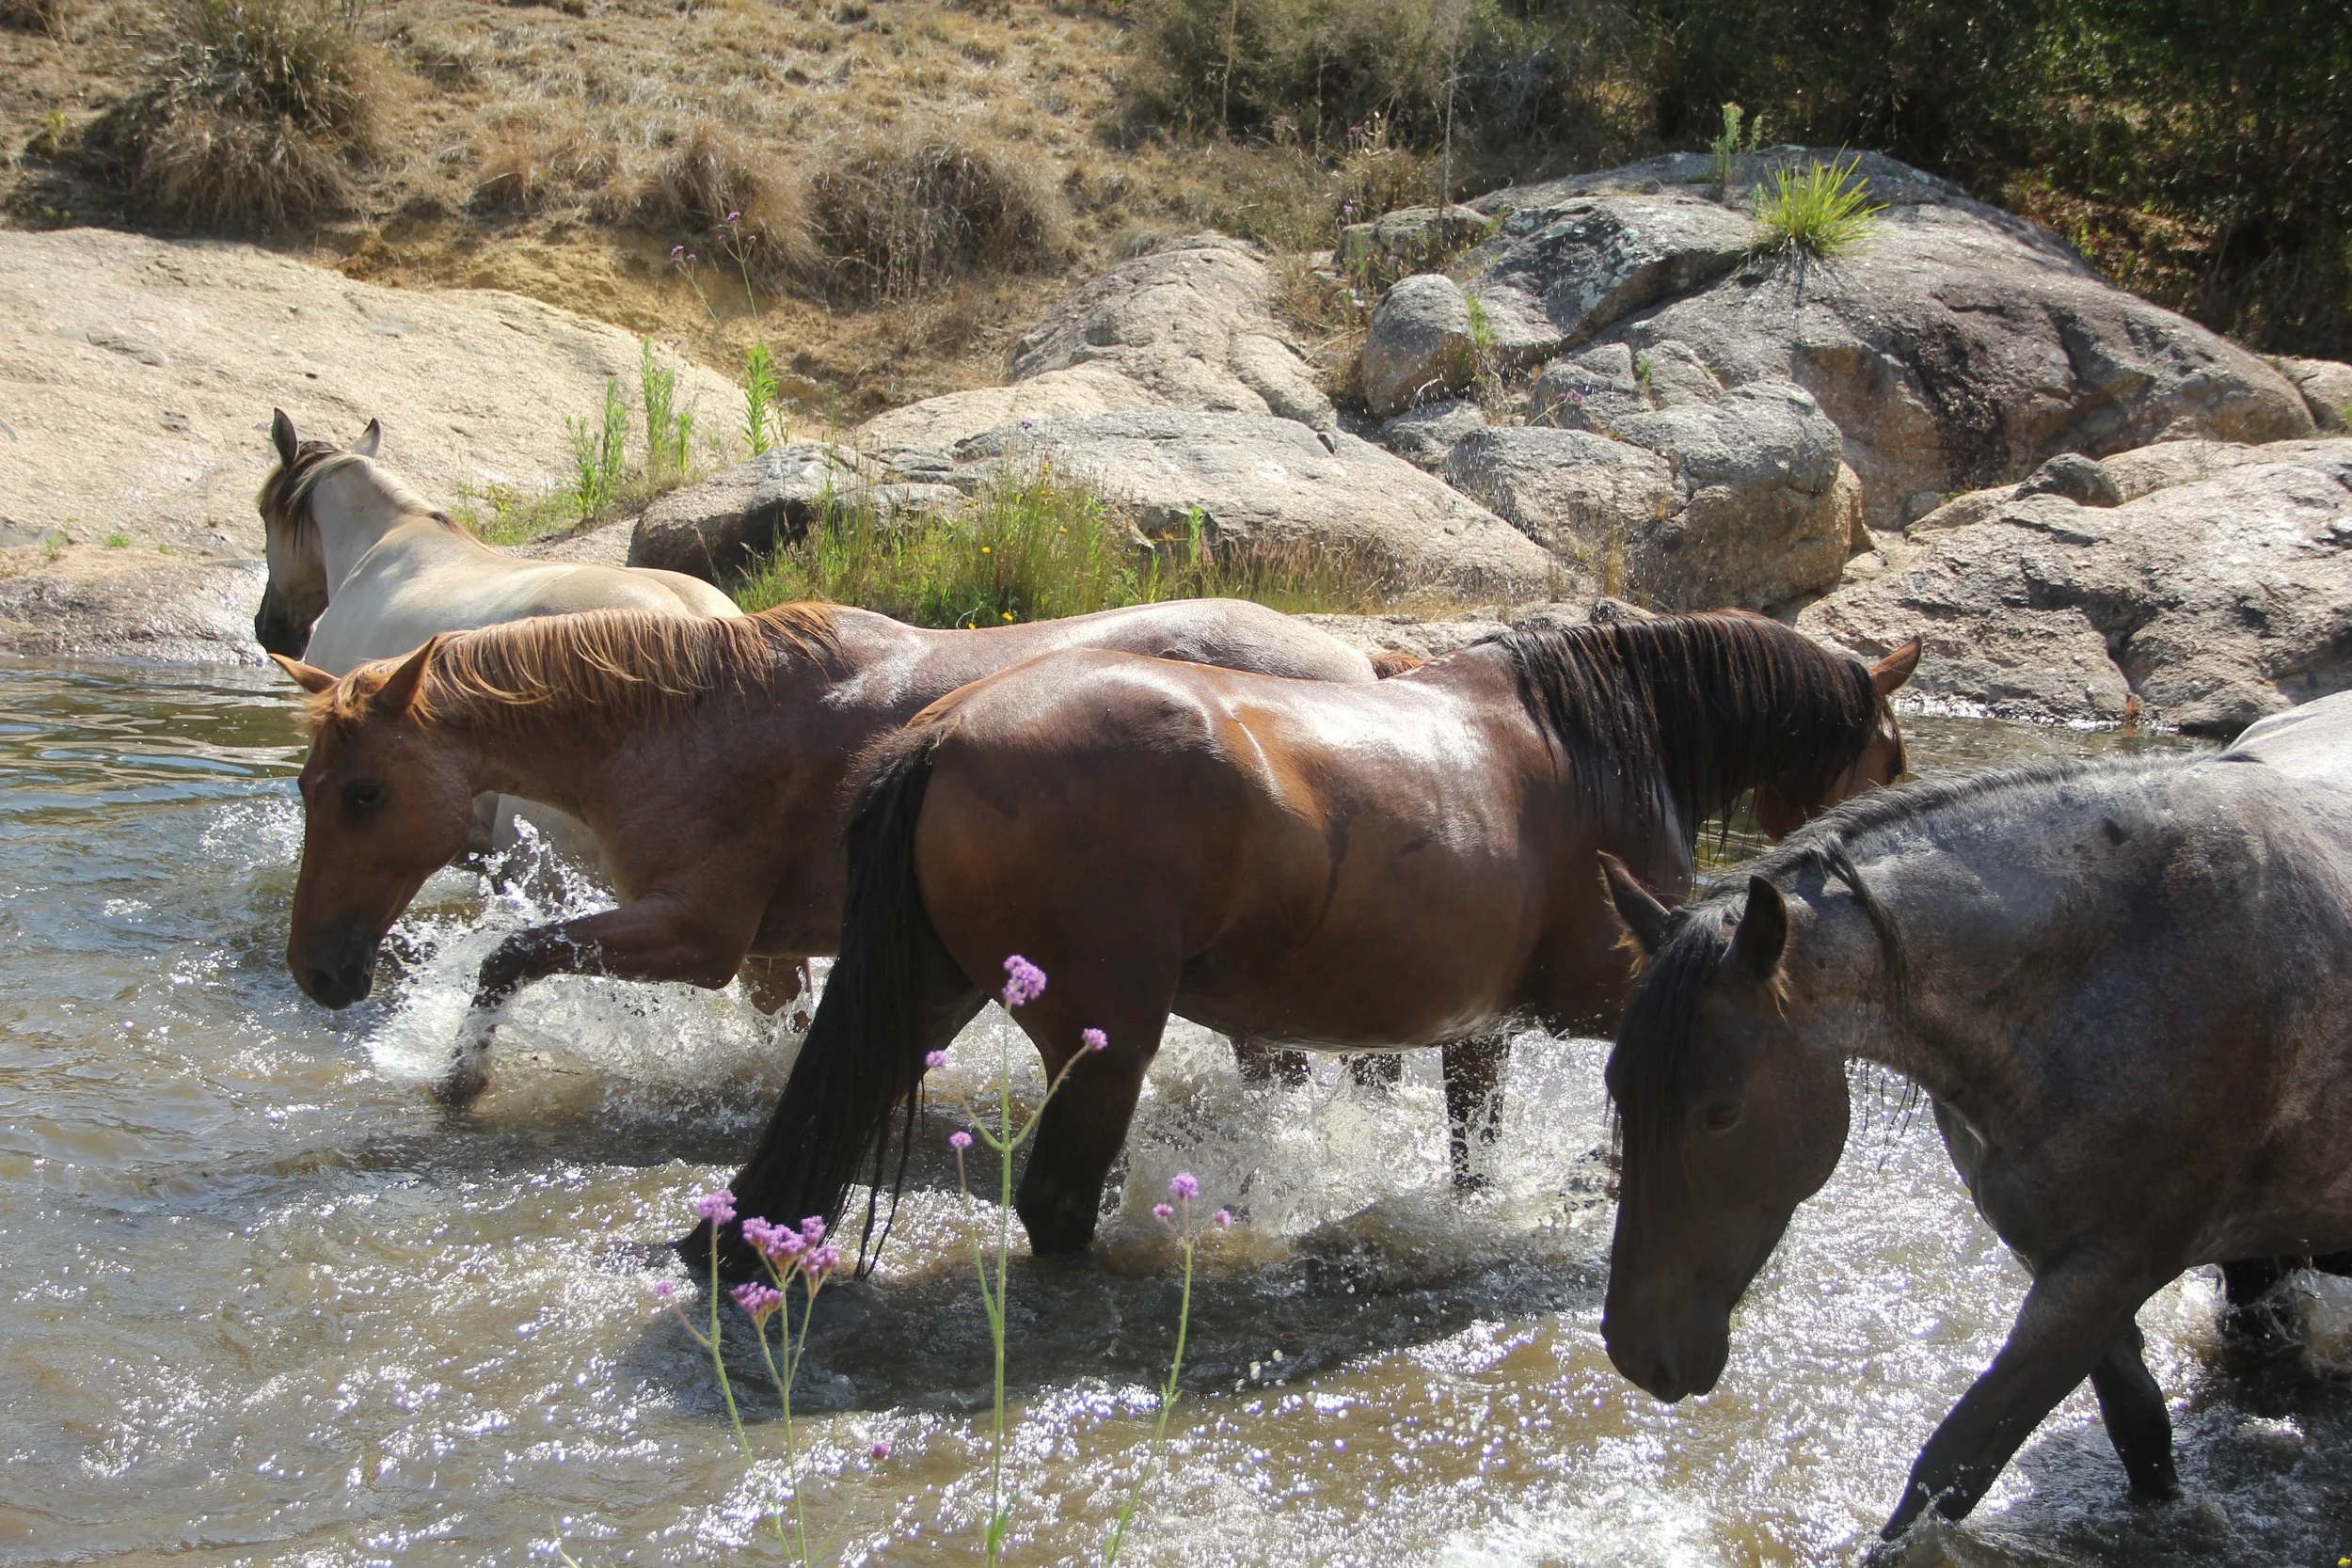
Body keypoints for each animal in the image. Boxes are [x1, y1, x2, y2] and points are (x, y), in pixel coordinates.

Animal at [269, 596, 1397, 1105]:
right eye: (307, 789)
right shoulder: (766, 953)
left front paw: (462, 1076)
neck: (689, 721)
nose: (320, 972)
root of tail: (1358, 662)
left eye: (364, 793)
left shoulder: (696, 935)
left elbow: (514, 954)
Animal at [687, 612, 1920, 1277]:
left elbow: (1474, 1153)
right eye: (1894, 757)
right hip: (1104, 1041)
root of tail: (946, 730)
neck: (1592, 741)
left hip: (926, 993)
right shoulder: (1617, 993)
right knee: (1057, 1202)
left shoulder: (1481, 1028)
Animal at [1596, 689, 2352, 1545]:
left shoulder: (2110, 1268)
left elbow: (1951, 1466)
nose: (1637, 1350)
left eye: (1720, 1111)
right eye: (1619, 1088)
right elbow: (2140, 1428)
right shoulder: (2058, 1264)